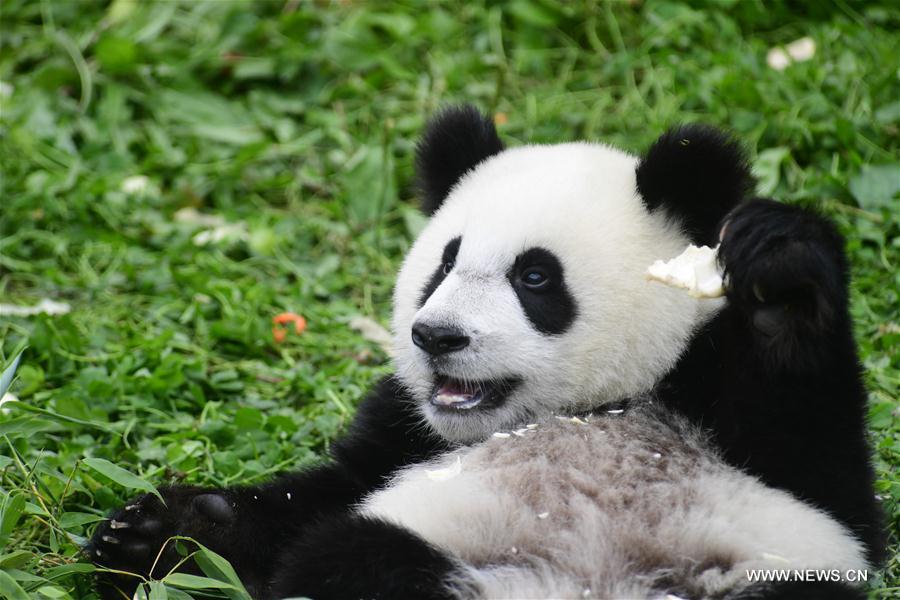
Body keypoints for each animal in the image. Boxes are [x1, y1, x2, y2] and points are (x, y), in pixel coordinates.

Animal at [89, 106, 885, 600]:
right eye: (445, 262)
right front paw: (156, 533)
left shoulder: (727, 411)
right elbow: (316, 500)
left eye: (534, 277)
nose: (437, 337)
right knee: (355, 554)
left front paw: (779, 274)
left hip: (754, 578)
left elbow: (827, 476)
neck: (587, 408)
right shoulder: (405, 434)